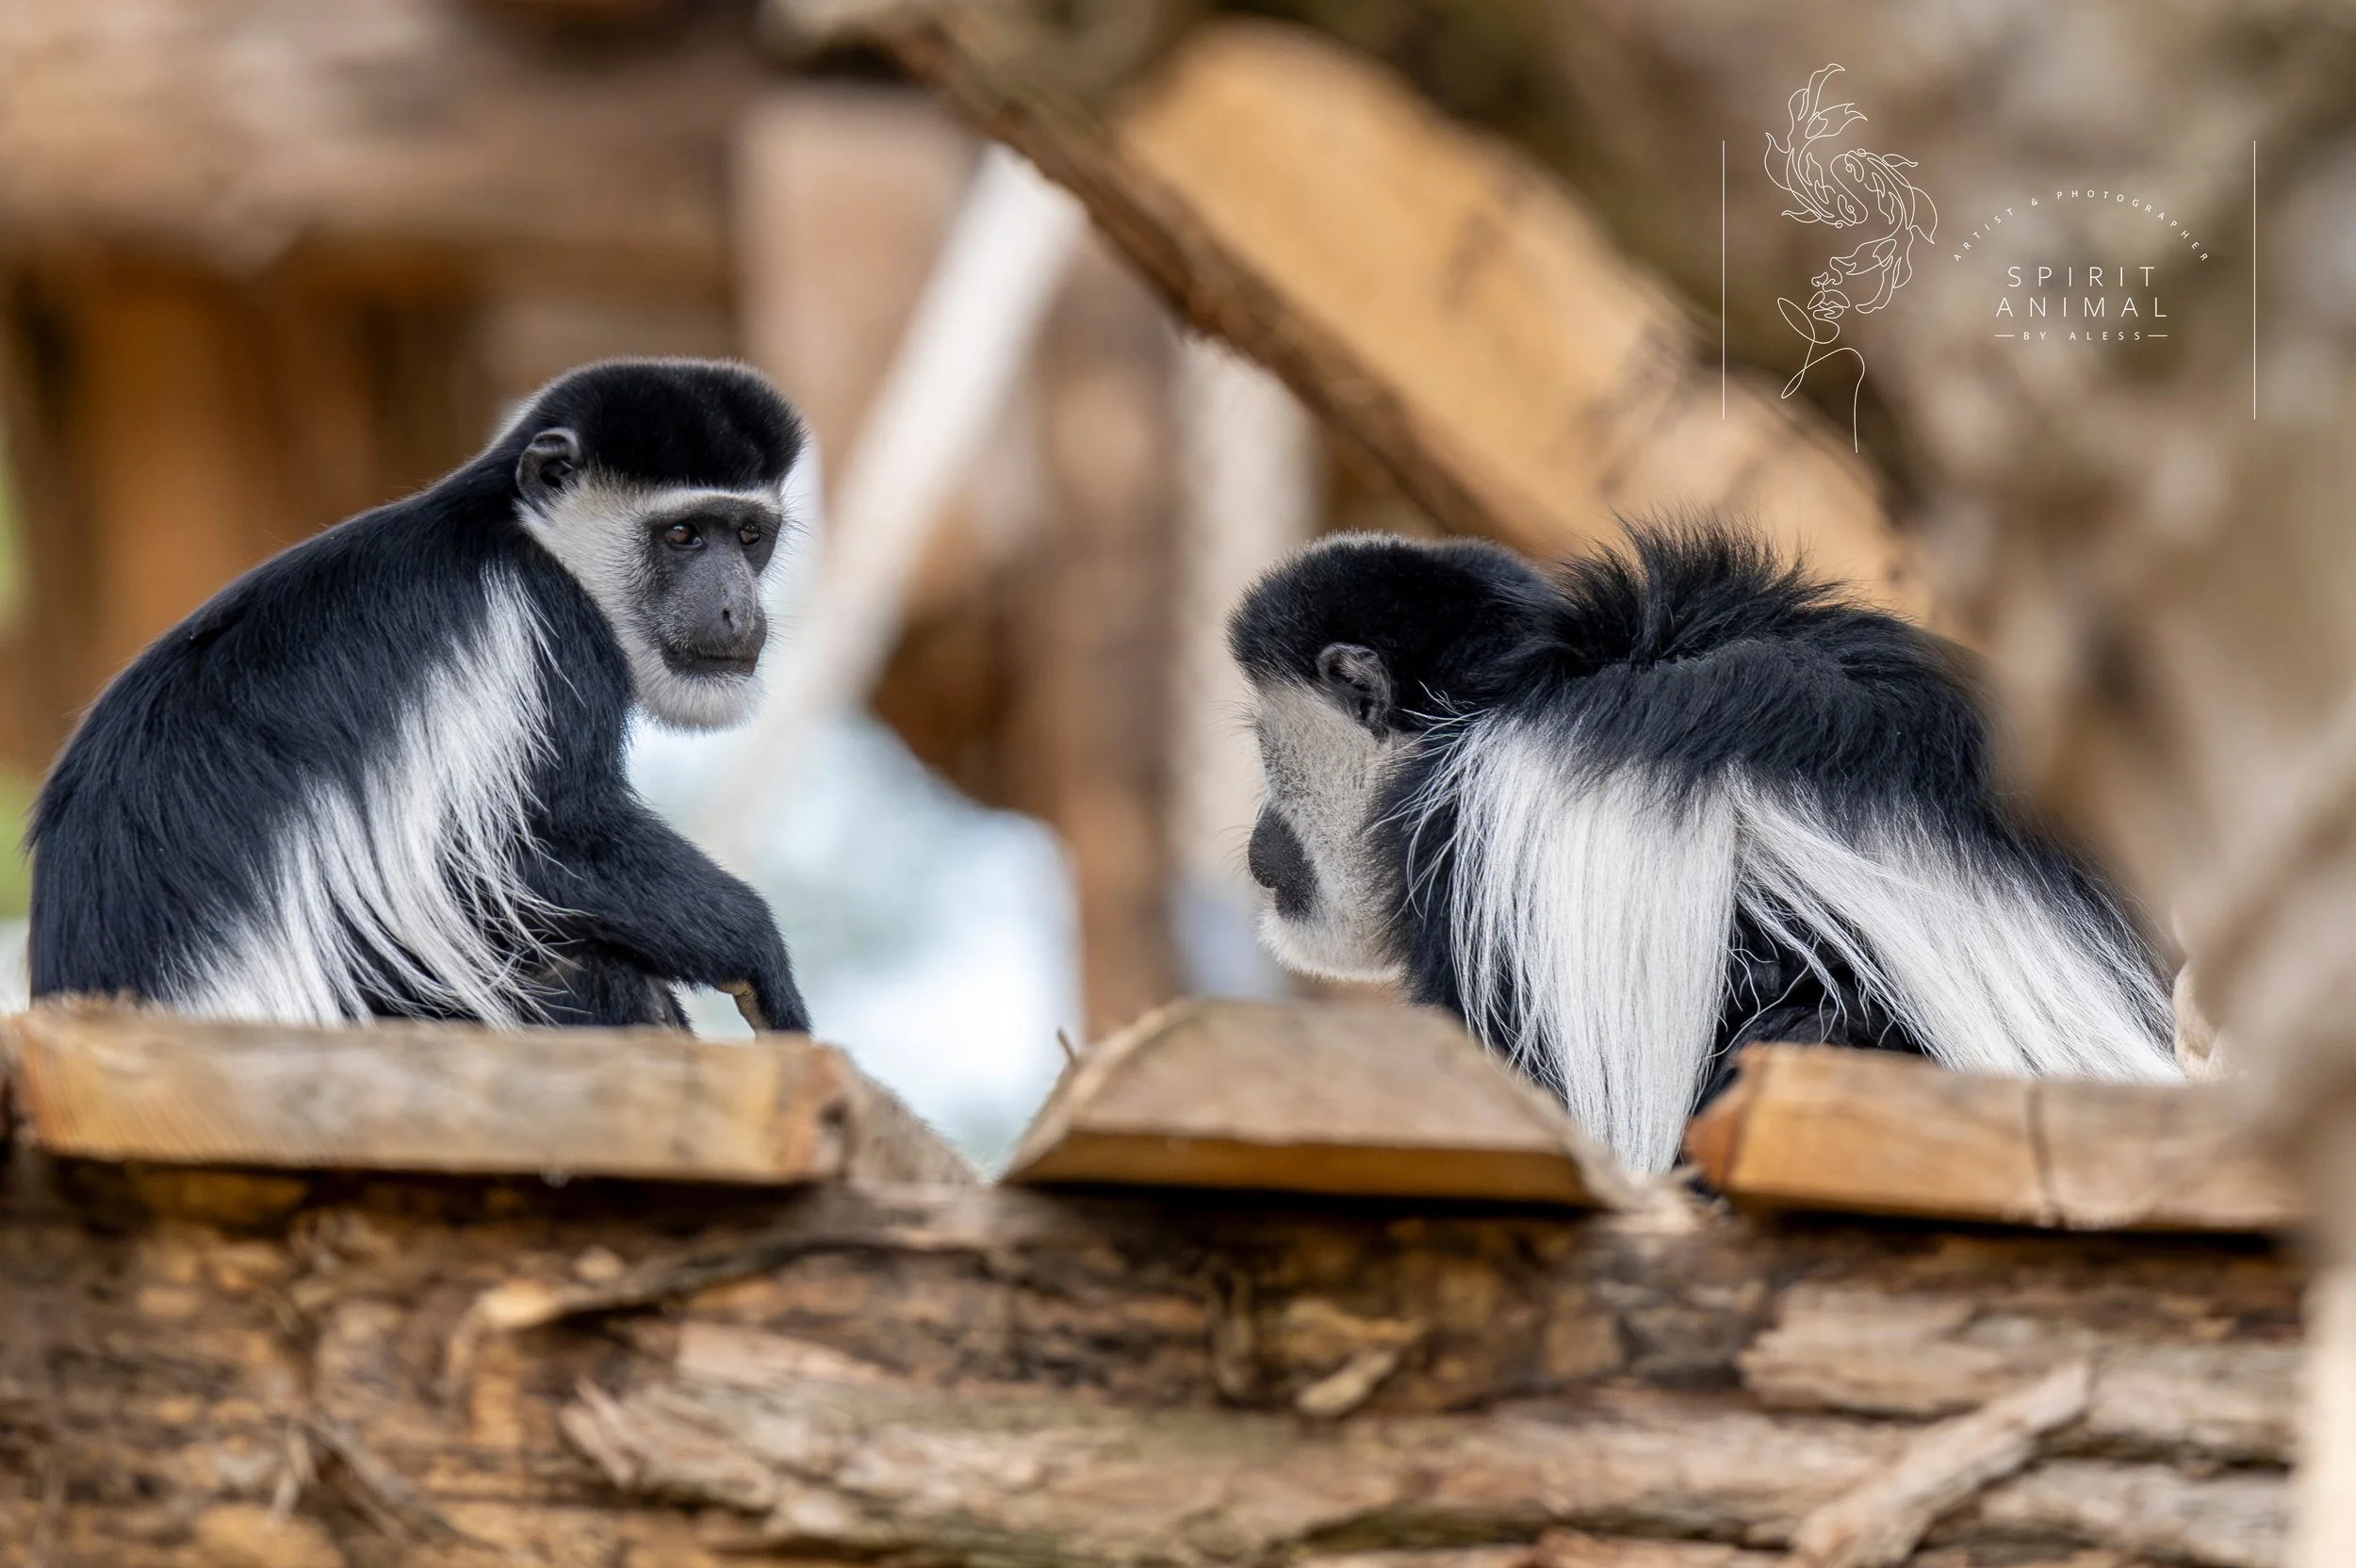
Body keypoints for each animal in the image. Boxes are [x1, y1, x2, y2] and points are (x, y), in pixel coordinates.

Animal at [29, 357, 810, 1034]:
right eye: (682, 534)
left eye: (749, 537)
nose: (738, 611)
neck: (526, 534)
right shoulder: (541, 626)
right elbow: (518, 848)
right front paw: (757, 949)